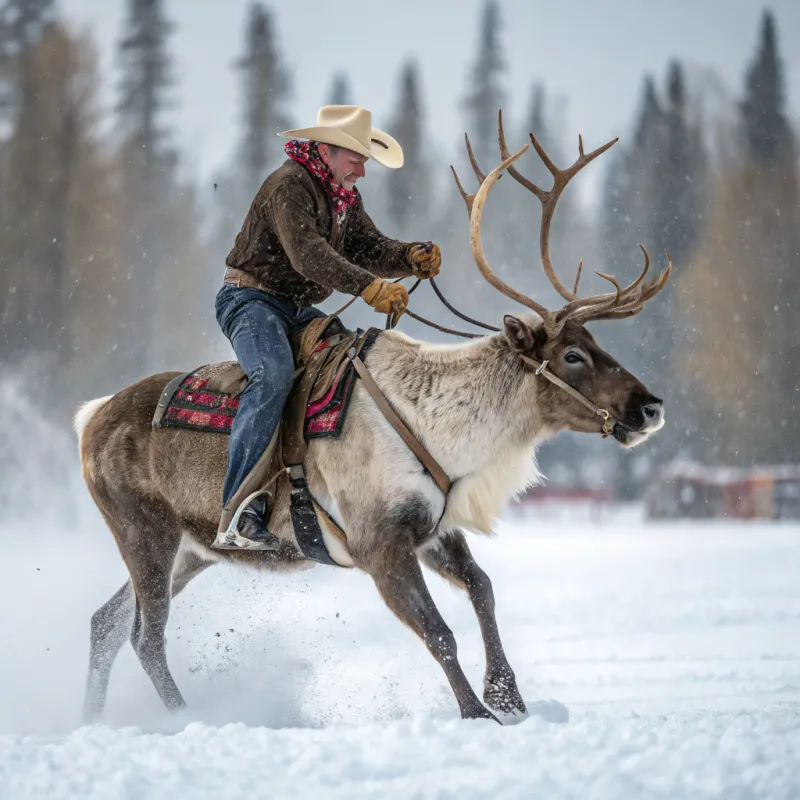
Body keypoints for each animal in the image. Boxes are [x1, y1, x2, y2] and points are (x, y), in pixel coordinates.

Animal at [76, 114, 670, 725]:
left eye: (596, 343)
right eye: (572, 355)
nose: (650, 407)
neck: (443, 430)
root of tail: (92, 416)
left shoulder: (434, 528)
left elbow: (483, 589)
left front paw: (509, 697)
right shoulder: (377, 543)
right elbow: (439, 633)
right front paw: (476, 714)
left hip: (190, 551)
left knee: (106, 623)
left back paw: (93, 716)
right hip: (146, 531)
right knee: (145, 636)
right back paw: (184, 717)